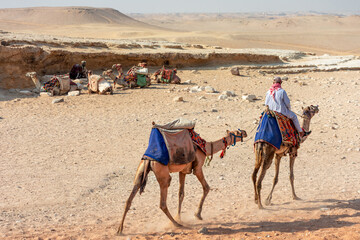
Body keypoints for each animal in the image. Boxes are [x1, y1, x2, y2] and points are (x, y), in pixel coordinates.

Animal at [118, 129, 248, 234]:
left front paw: (179, 216)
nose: (245, 132)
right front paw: (197, 214)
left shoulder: (183, 171)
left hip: (140, 171)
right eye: (237, 132)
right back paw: (176, 224)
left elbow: (181, 194)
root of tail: (149, 159)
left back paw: (120, 229)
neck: (205, 147)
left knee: (129, 199)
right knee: (162, 202)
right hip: (163, 174)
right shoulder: (197, 168)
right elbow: (206, 187)